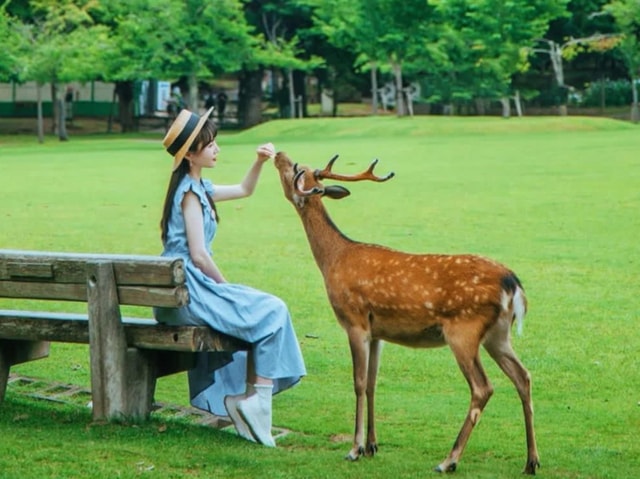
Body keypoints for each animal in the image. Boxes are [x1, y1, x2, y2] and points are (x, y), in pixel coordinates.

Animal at [273, 151, 540, 475]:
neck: (332, 259)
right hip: (498, 335)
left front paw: (354, 449)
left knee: (483, 387)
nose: (278, 154)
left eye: (295, 169)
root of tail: (513, 284)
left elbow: (358, 383)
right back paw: (531, 461)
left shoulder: (354, 320)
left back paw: (448, 460)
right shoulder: (377, 333)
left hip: (463, 331)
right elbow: (372, 383)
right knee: (523, 376)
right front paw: (372, 445)